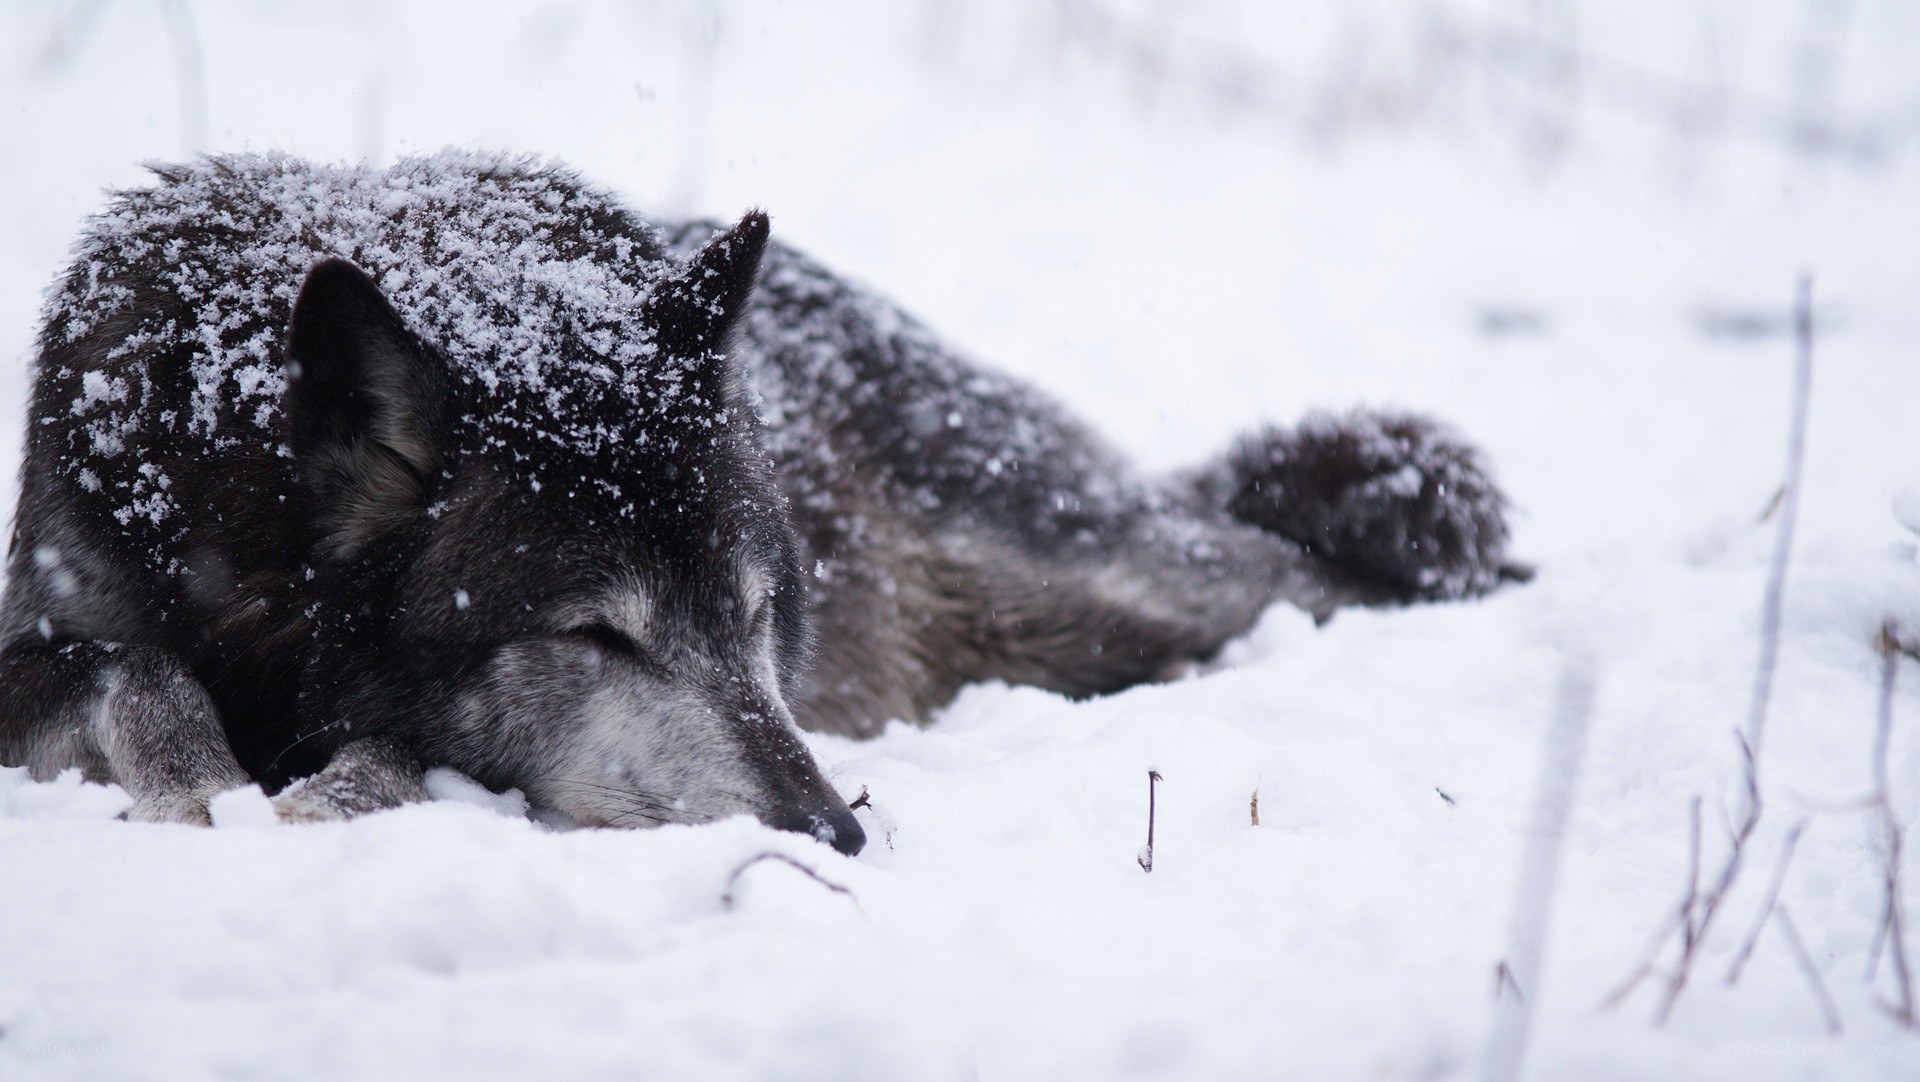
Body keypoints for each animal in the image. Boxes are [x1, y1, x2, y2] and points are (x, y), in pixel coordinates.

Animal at [0, 154, 1520, 854]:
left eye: (750, 615)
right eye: (596, 635)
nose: (838, 832)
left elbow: (380, 748)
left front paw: (317, 793)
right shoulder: (58, 613)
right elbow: (129, 662)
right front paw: (207, 781)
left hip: (1102, 583)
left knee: (1320, 574)